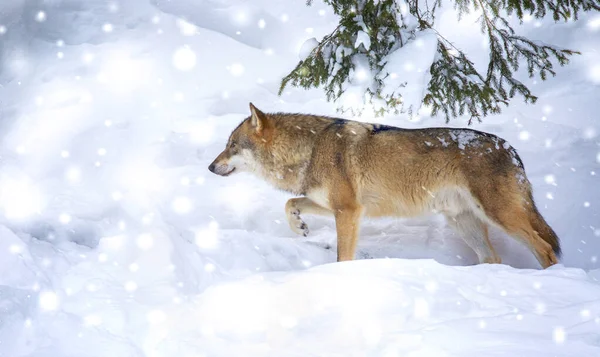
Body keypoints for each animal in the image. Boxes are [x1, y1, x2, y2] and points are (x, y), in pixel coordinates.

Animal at [209, 103, 560, 268]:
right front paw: (300, 227)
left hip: (500, 215)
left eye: (232, 145)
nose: (211, 167)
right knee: (494, 258)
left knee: (545, 249)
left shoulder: (348, 211)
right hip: (464, 222)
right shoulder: (335, 205)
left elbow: (343, 256)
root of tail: (511, 149)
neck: (310, 149)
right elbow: (289, 203)